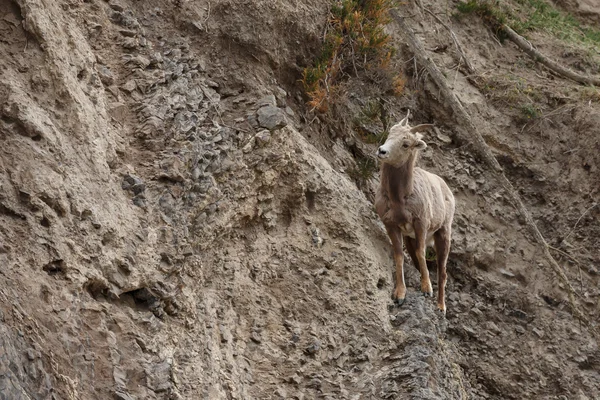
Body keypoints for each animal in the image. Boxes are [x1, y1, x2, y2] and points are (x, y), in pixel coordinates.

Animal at [376, 111, 454, 312]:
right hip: (410, 239)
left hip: (443, 234)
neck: (400, 199)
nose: (382, 151)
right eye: (390, 133)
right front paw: (400, 295)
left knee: (442, 272)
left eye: (406, 144)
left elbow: (421, 253)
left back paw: (441, 307)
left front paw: (427, 289)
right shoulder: (392, 225)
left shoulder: (420, 224)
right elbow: (399, 256)